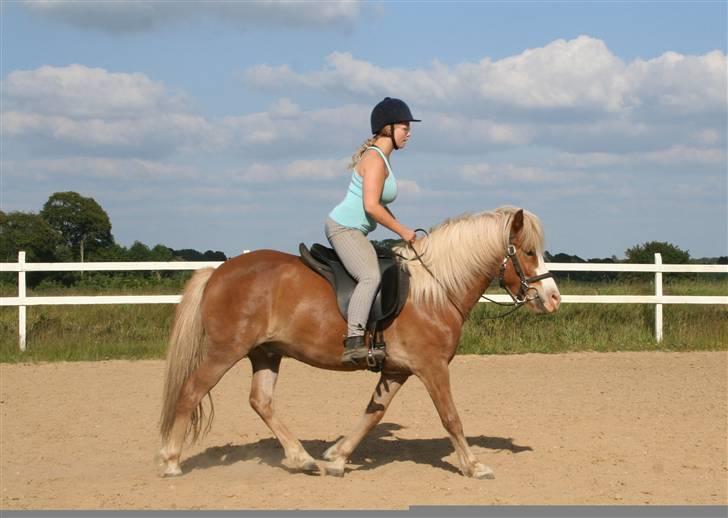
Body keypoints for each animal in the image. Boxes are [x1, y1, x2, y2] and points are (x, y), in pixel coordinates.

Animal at [156, 206, 560, 480]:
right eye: (527, 252)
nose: (553, 298)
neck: (434, 289)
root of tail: (217, 272)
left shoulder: (397, 370)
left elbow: (373, 414)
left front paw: (337, 457)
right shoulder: (431, 367)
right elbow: (451, 418)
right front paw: (474, 466)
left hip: (266, 353)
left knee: (261, 401)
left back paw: (302, 458)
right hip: (225, 351)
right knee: (191, 391)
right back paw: (171, 460)